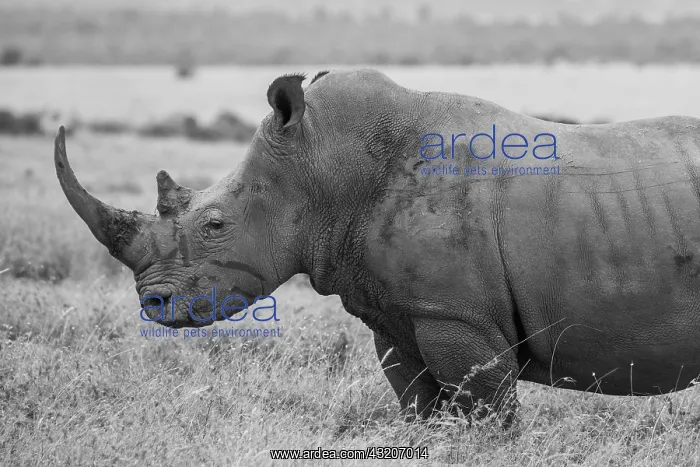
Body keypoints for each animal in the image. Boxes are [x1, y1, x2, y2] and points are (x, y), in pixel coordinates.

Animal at [54, 69, 700, 425]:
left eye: (214, 224)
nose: (153, 306)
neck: (323, 168)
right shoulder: (398, 314)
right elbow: (420, 408)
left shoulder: (455, 314)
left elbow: (488, 416)